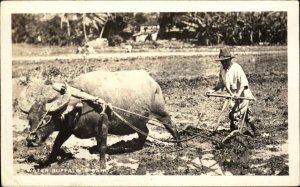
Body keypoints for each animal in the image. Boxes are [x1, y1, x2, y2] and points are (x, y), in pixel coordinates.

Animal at [21, 70, 182, 168]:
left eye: (47, 117)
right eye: (29, 119)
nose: (31, 139)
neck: (82, 104)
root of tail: (153, 82)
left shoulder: (103, 126)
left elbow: (102, 145)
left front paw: (102, 164)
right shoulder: (67, 128)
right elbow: (56, 144)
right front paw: (48, 160)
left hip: (161, 112)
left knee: (172, 126)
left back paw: (180, 145)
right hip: (138, 120)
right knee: (144, 132)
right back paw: (136, 147)